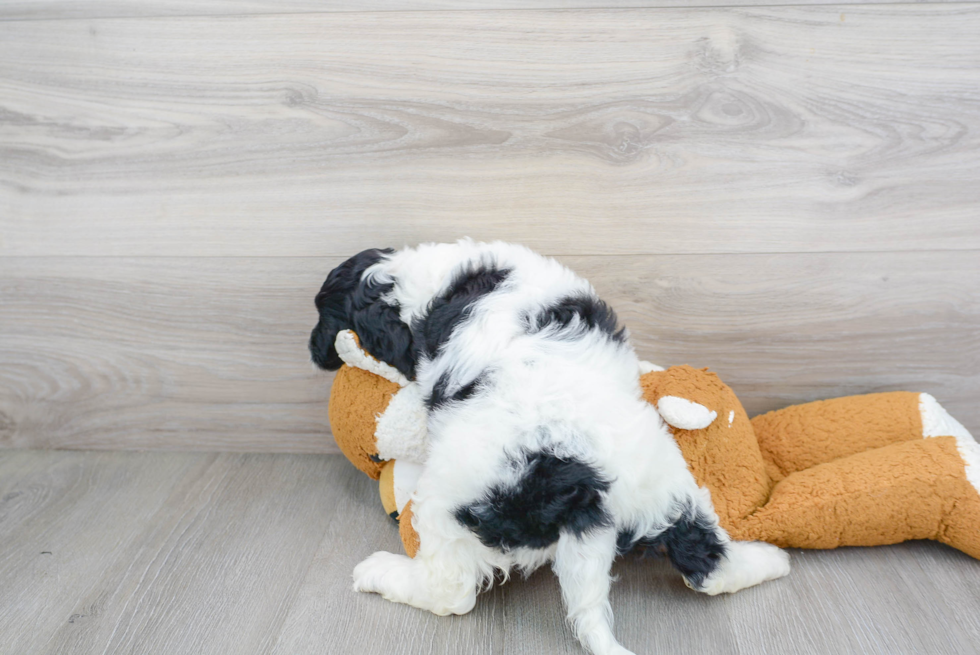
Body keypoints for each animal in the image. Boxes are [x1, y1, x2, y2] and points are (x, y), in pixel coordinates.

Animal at [310, 241, 784, 655]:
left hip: (452, 499)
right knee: (708, 563)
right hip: (668, 485)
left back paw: (379, 572)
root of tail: (588, 489)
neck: (433, 277)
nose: (316, 353)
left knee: (451, 592)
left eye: (323, 315)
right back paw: (771, 559)